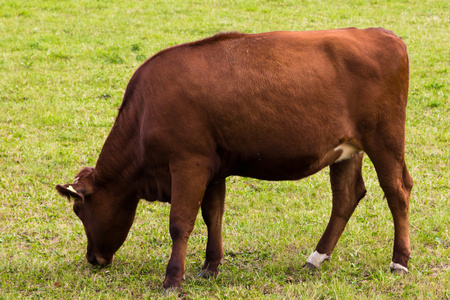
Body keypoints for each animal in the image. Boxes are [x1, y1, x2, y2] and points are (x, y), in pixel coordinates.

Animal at [57, 27, 414, 290]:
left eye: (79, 210)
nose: (93, 259)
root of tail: (381, 34)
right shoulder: (213, 168)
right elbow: (213, 215)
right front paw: (210, 266)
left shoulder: (188, 164)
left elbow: (180, 223)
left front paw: (172, 280)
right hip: (347, 149)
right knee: (347, 196)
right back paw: (316, 257)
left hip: (385, 139)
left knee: (397, 192)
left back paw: (399, 261)